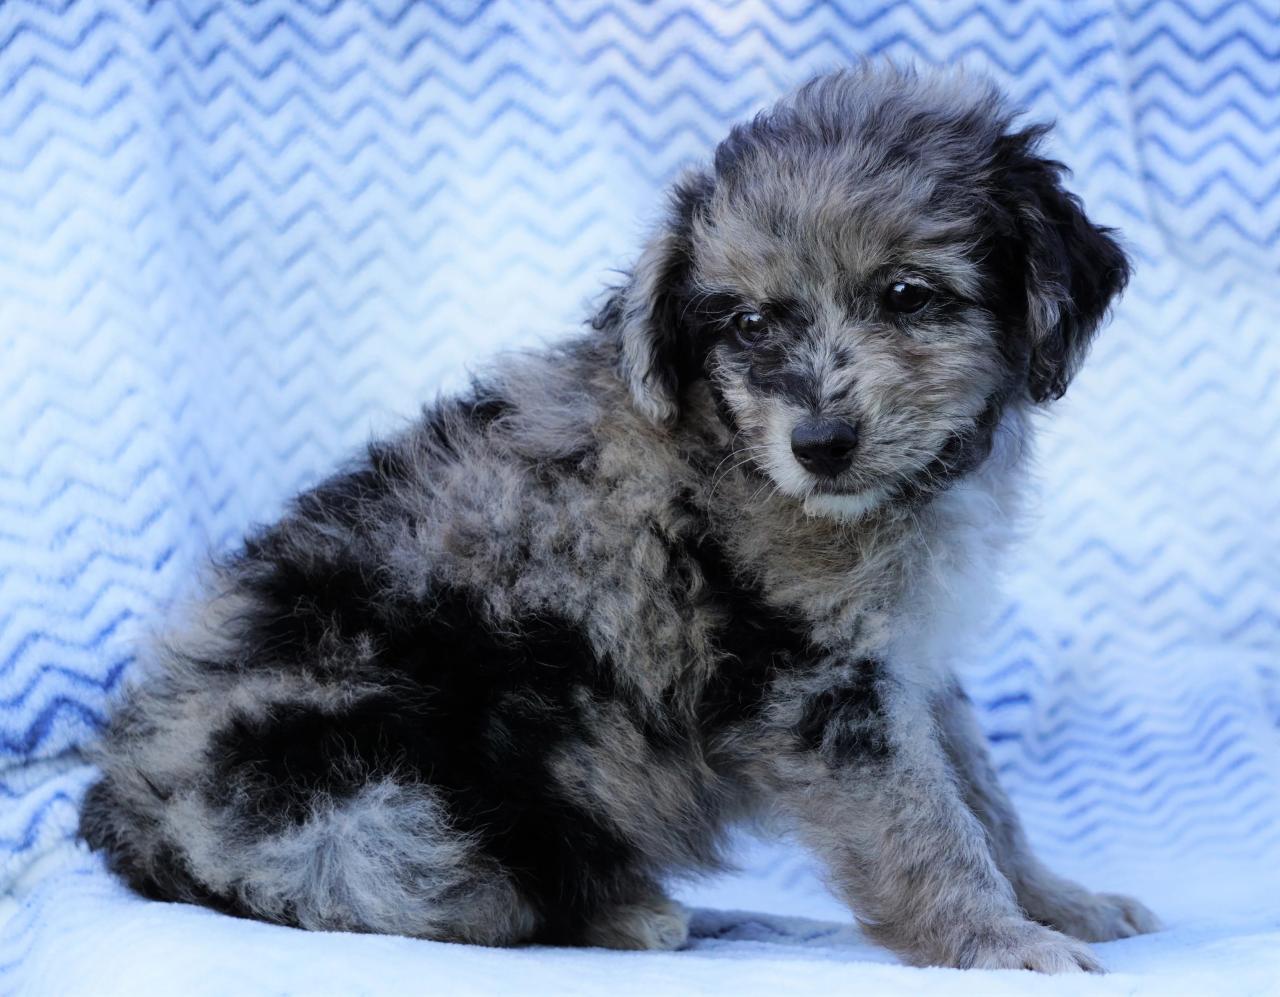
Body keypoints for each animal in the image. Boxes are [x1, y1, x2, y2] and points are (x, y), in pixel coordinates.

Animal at [80, 66, 1162, 972]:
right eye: (749, 324)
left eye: (906, 295)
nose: (819, 442)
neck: (736, 443)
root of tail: (128, 799)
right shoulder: (818, 690)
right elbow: (923, 828)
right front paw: (995, 940)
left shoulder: (906, 668)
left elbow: (980, 797)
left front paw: (1054, 901)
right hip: (368, 791)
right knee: (420, 892)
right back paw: (627, 912)